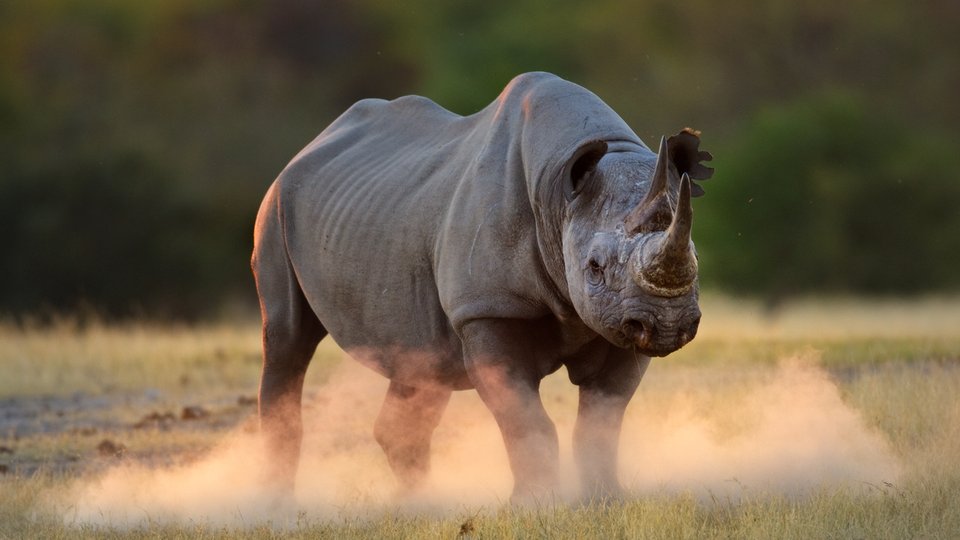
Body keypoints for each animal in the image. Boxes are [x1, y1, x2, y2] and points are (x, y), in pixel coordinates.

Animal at [251, 72, 713, 500]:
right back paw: (277, 506)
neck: (557, 195)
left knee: (420, 362)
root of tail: (309, 146)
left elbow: (602, 418)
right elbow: (525, 417)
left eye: (695, 257)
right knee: (289, 340)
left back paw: (420, 506)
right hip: (275, 209)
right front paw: (536, 505)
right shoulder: (487, 308)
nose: (667, 324)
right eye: (594, 267)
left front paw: (605, 501)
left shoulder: (618, 322)